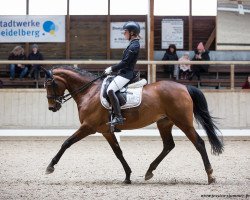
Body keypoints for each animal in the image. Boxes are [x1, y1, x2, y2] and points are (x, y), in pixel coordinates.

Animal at [43, 66, 225, 185]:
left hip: (183, 122)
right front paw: (128, 176)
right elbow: (118, 152)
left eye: (49, 84)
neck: (89, 92)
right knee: (168, 145)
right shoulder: (106, 131)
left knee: (199, 143)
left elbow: (66, 143)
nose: (52, 107)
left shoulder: (88, 127)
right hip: (164, 123)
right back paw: (149, 171)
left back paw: (210, 176)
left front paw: (50, 166)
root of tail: (184, 87)